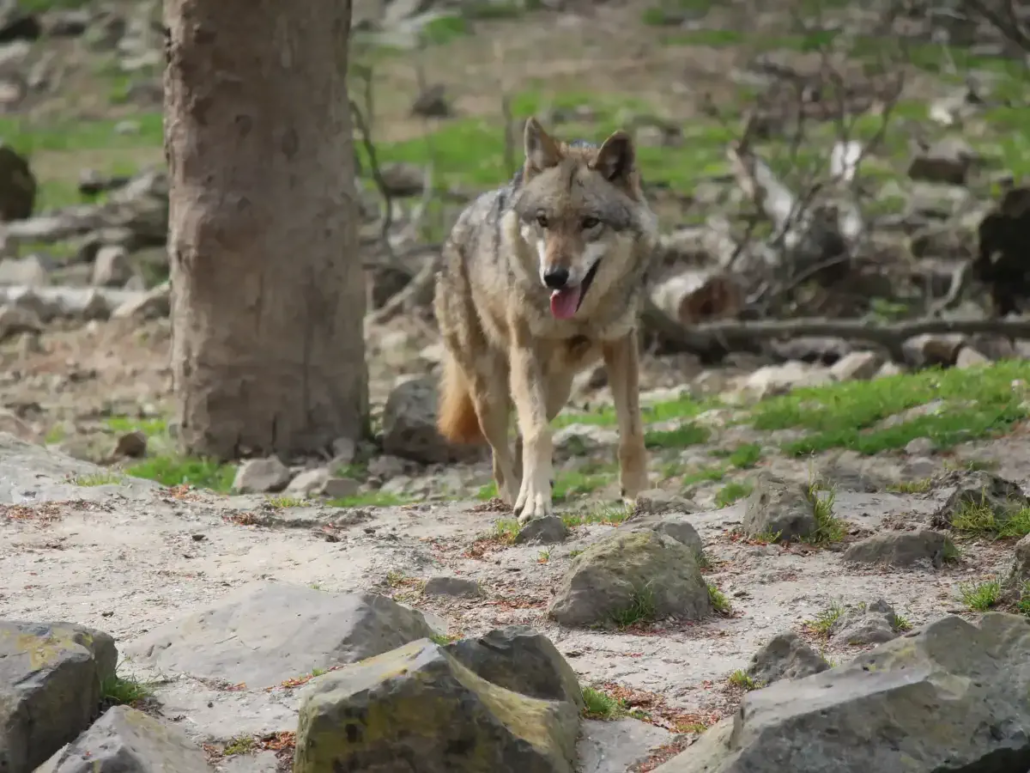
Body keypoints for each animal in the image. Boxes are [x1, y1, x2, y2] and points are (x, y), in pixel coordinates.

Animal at [432, 116, 659, 527]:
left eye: (590, 222)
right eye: (543, 221)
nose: (554, 277)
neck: (581, 315)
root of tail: (459, 223)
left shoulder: (622, 345)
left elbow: (631, 431)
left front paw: (637, 494)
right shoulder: (526, 355)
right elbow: (538, 434)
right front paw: (534, 502)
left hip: (559, 388)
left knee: (522, 436)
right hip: (491, 392)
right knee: (502, 452)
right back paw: (514, 497)